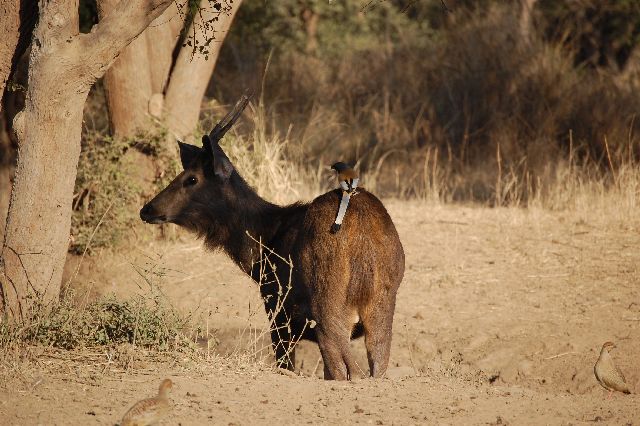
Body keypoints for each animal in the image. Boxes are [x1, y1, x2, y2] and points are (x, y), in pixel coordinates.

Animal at [140, 95, 404, 380]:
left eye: (192, 178)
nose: (148, 209)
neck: (262, 246)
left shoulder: (277, 310)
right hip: (381, 309)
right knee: (376, 365)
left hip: (328, 305)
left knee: (349, 370)